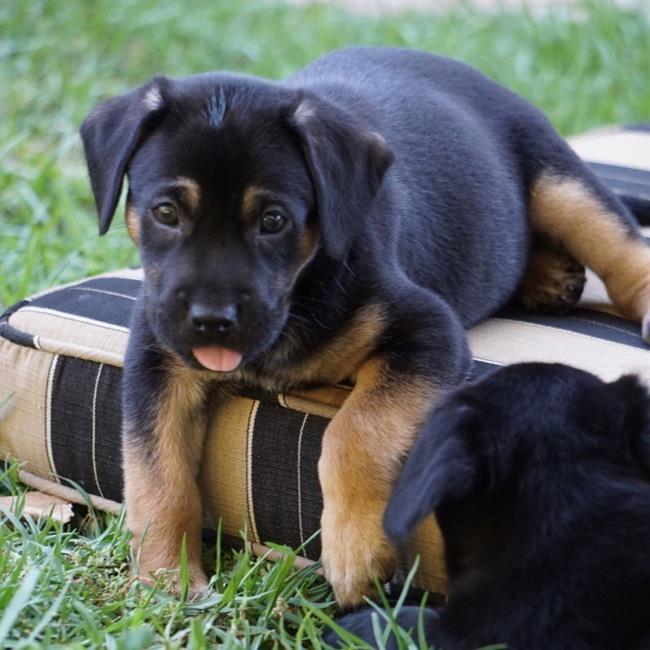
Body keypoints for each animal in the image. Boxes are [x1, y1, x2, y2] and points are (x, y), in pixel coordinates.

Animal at [82, 48, 650, 604]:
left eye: (273, 221)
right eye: (165, 212)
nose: (211, 322)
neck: (301, 291)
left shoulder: (427, 331)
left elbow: (355, 429)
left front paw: (355, 551)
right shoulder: (156, 357)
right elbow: (156, 473)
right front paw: (165, 581)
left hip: (561, 184)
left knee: (622, 251)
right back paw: (548, 275)